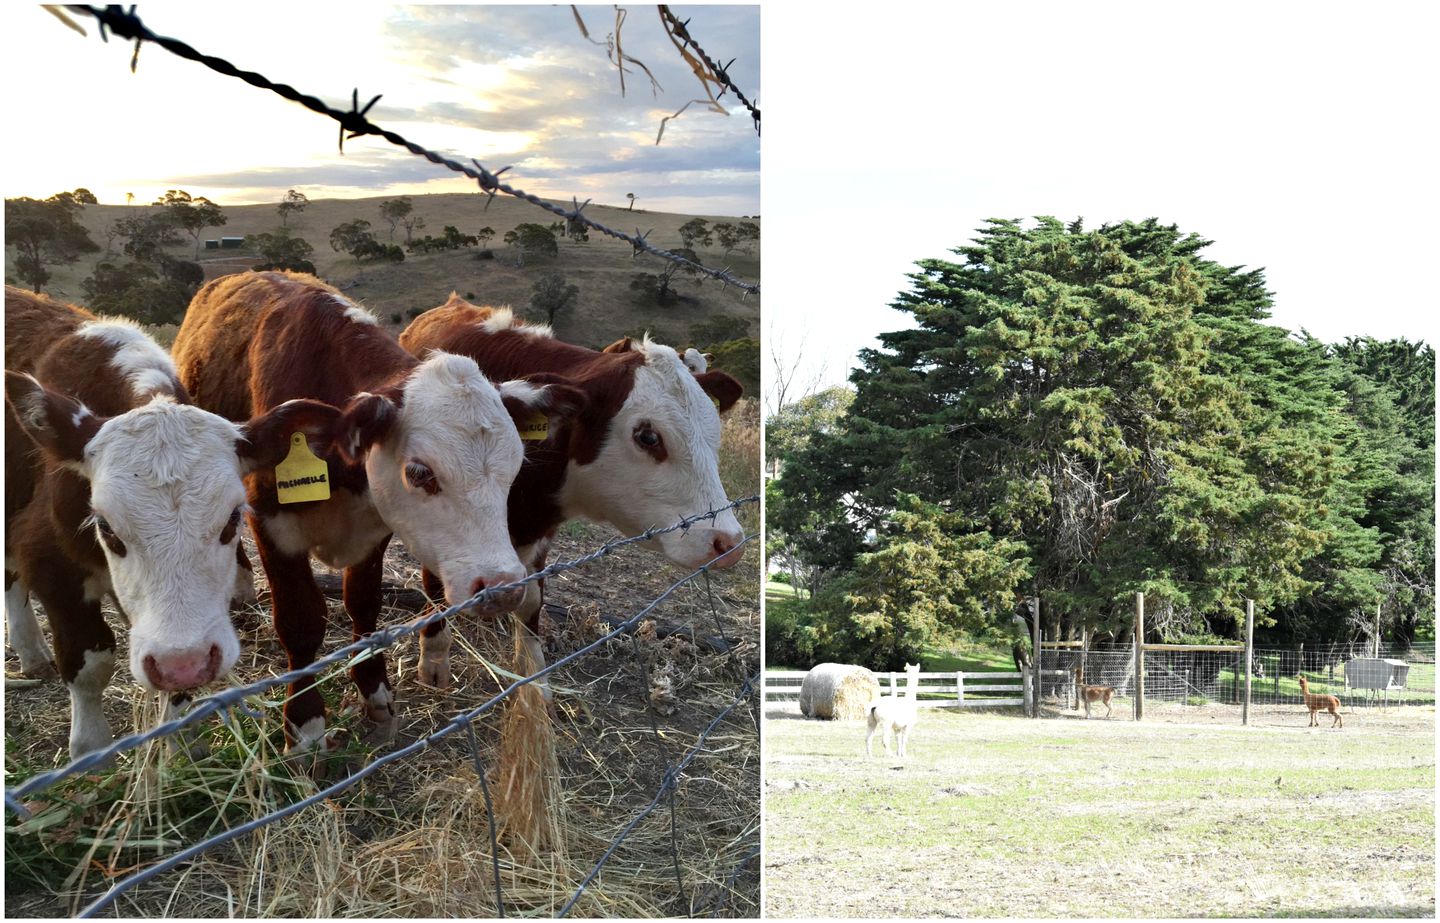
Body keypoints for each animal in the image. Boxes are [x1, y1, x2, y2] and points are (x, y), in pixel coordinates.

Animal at [4, 286, 334, 754]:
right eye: (105, 528)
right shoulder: (50, 563)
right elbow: (90, 663)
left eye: (233, 519)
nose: (186, 662)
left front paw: (182, 745)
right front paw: (92, 750)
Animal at [174, 272, 584, 748]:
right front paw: (306, 724)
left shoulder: (375, 529)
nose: (501, 588)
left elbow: (364, 604)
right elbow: (300, 620)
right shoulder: (272, 524)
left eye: (516, 464)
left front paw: (375, 691)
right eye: (420, 472)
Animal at [400, 295, 748, 685]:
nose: (730, 543)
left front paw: (534, 683)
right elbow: (435, 591)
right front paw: (434, 661)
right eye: (647, 436)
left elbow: (532, 602)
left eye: (714, 428)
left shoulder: (539, 537)